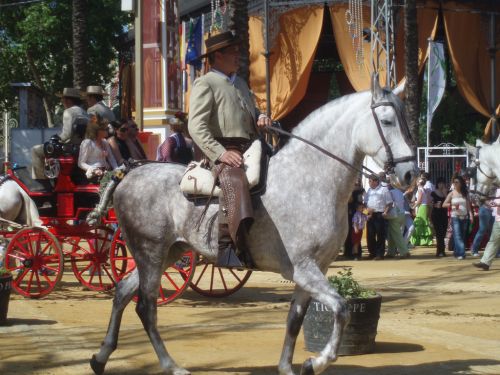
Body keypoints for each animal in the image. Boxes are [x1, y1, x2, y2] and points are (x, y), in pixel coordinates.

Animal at [93, 77, 418, 375]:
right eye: (387, 121)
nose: (410, 173)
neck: (308, 179)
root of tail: (129, 172)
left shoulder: (317, 270)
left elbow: (295, 319)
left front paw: (288, 367)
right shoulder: (304, 268)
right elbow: (341, 308)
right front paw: (316, 362)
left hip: (167, 253)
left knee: (123, 291)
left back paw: (101, 356)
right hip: (151, 252)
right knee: (146, 307)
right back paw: (170, 365)